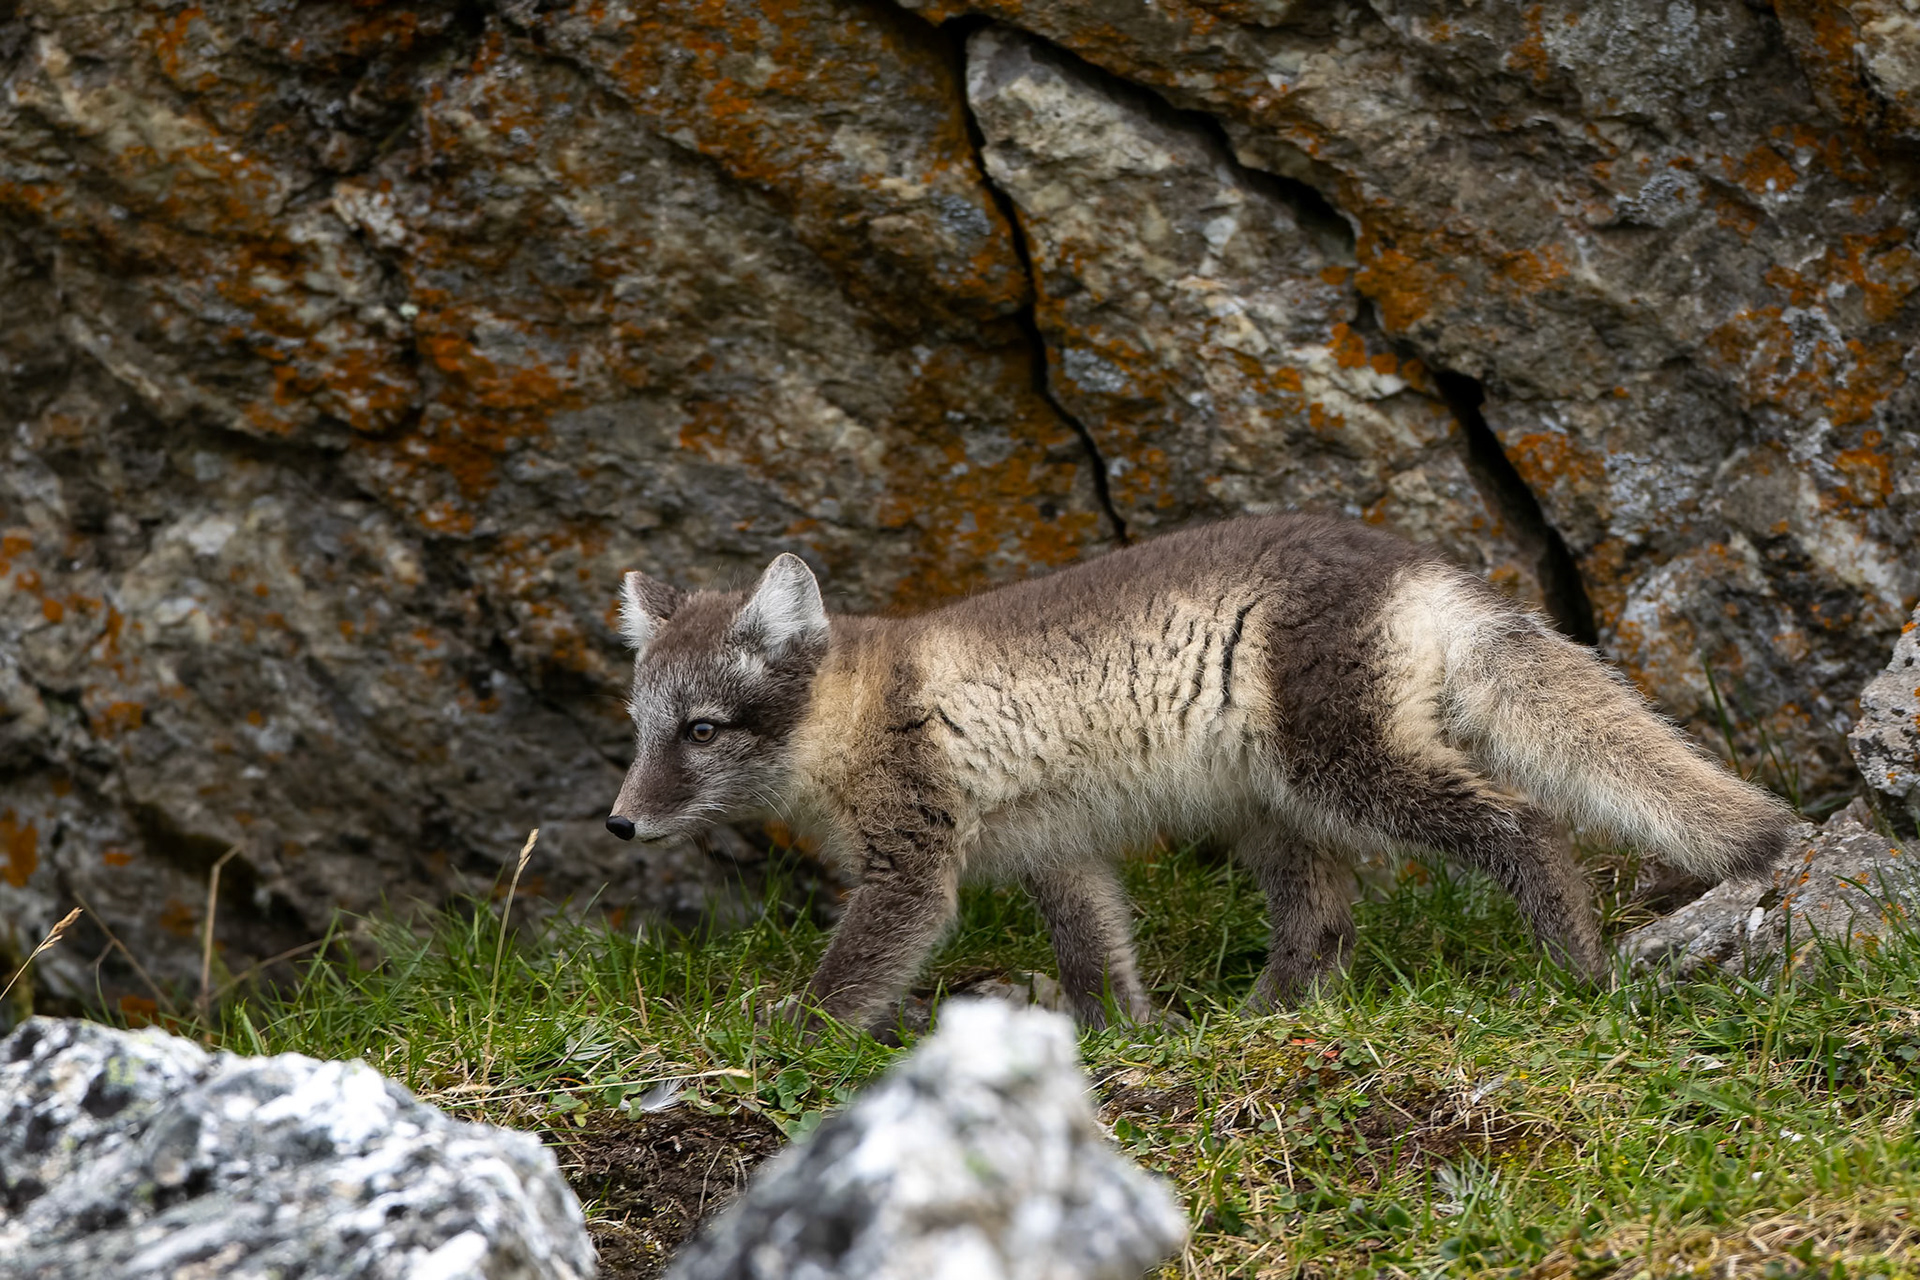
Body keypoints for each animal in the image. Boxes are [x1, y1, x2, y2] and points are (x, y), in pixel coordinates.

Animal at [603, 514, 1794, 1032]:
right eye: (640, 726)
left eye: (701, 730)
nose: (617, 825)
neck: (854, 710)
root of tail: (1419, 567)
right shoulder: (1052, 850)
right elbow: (1097, 958)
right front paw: (1123, 1039)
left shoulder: (914, 865)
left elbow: (852, 972)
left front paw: (781, 1038)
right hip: (1273, 804)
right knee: (1324, 921)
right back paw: (1254, 1022)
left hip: (1341, 770)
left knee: (1525, 822)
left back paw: (1576, 971)